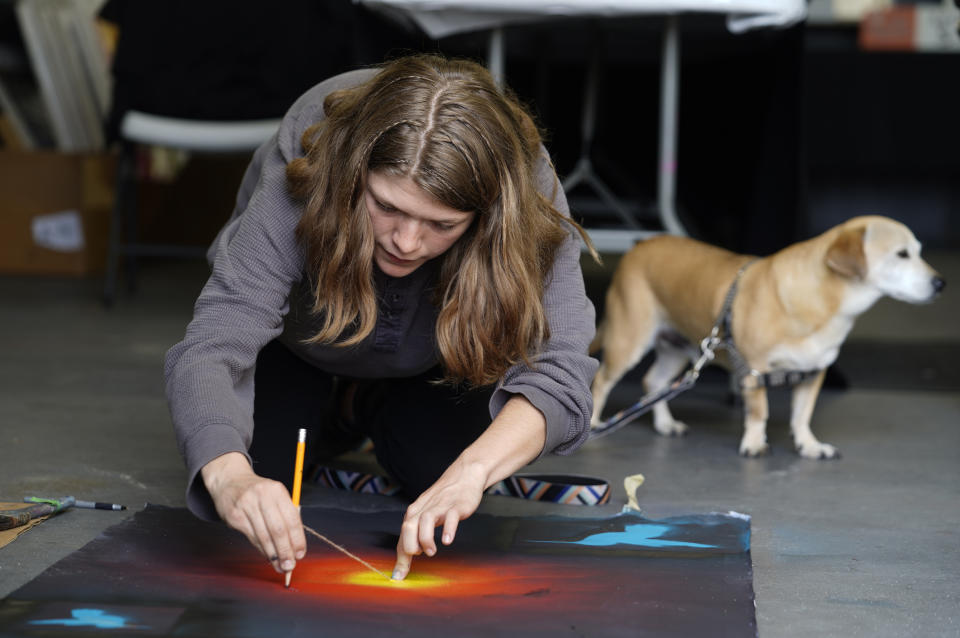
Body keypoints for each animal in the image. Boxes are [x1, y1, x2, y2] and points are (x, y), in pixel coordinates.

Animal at [592, 218, 944, 458]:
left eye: (918, 252)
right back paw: (594, 426)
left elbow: (802, 415)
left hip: (679, 349)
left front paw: (809, 445)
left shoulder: (814, 374)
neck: (824, 302)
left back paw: (666, 424)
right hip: (628, 342)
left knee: (654, 382)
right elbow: (759, 412)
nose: (941, 284)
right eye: (901, 254)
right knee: (600, 382)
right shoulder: (754, 371)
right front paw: (754, 444)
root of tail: (640, 245)